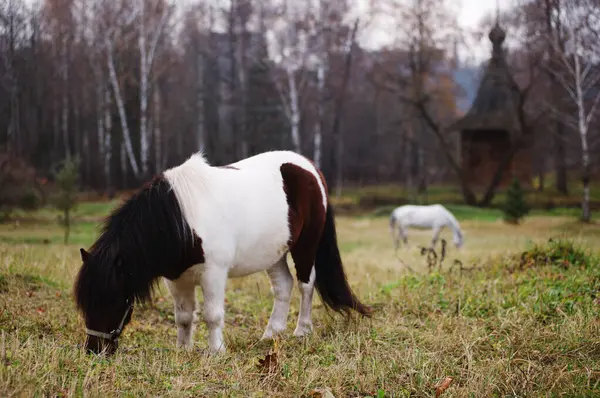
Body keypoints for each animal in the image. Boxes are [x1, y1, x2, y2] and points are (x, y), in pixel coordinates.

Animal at [72, 150, 368, 354]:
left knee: (307, 285)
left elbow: (212, 314)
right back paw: (270, 334)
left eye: (111, 299)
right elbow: (183, 317)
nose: (94, 351)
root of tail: (309, 167)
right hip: (274, 252)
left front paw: (216, 351)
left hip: (305, 245)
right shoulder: (176, 279)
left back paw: (301, 331)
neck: (180, 221)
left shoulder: (213, 273)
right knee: (283, 286)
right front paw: (183, 350)